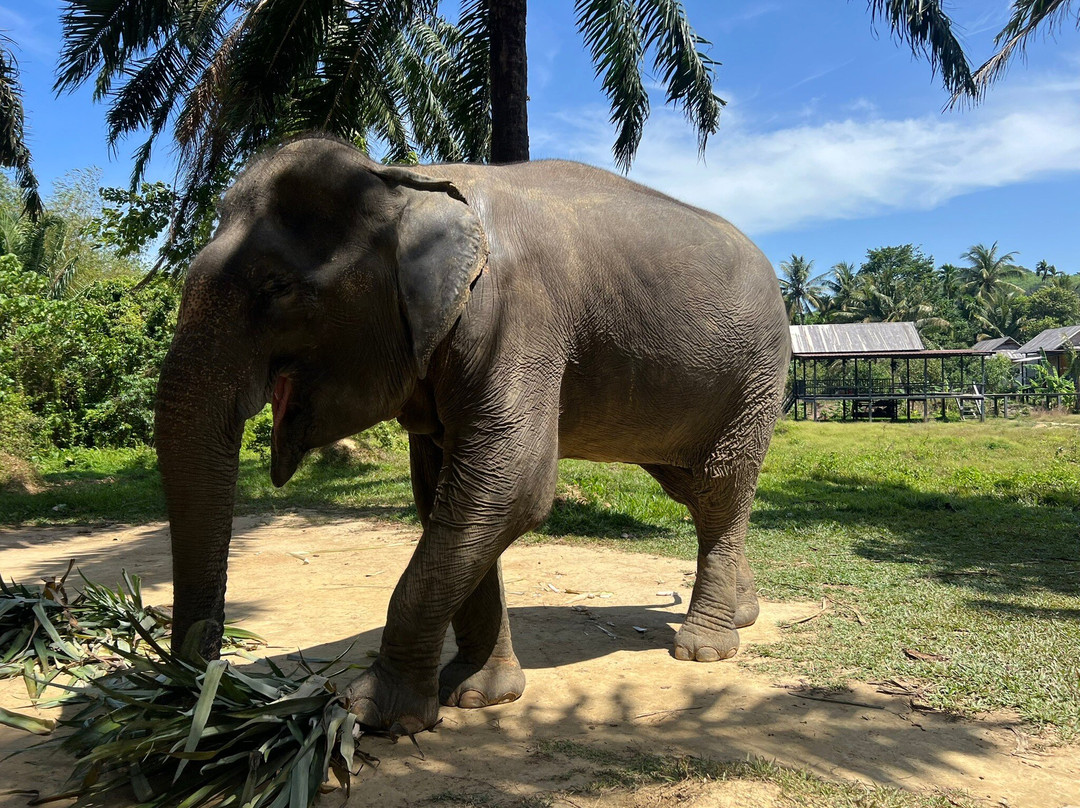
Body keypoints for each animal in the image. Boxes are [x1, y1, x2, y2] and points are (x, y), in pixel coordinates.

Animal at [154, 134, 790, 735]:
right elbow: (448, 493)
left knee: (720, 486)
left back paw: (703, 649)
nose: (202, 684)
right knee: (697, 490)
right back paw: (743, 613)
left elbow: (510, 487)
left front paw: (372, 712)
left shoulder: (515, 320)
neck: (406, 184)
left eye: (276, 287)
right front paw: (481, 694)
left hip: (757, 375)